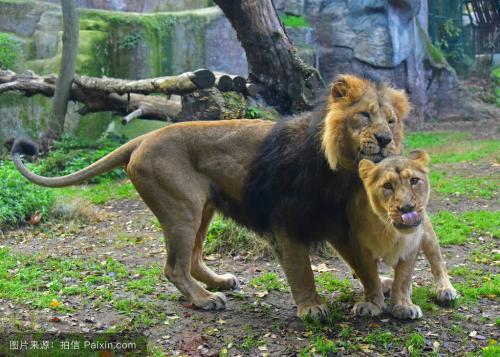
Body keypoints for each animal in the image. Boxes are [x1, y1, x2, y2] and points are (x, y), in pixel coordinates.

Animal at [348, 150, 458, 320]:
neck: (388, 230)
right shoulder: (361, 249)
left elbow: (403, 277)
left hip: (428, 236)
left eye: (414, 180)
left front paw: (403, 306)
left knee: (438, 262)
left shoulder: (411, 246)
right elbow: (370, 278)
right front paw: (372, 304)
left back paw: (445, 290)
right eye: (387, 185)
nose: (407, 208)